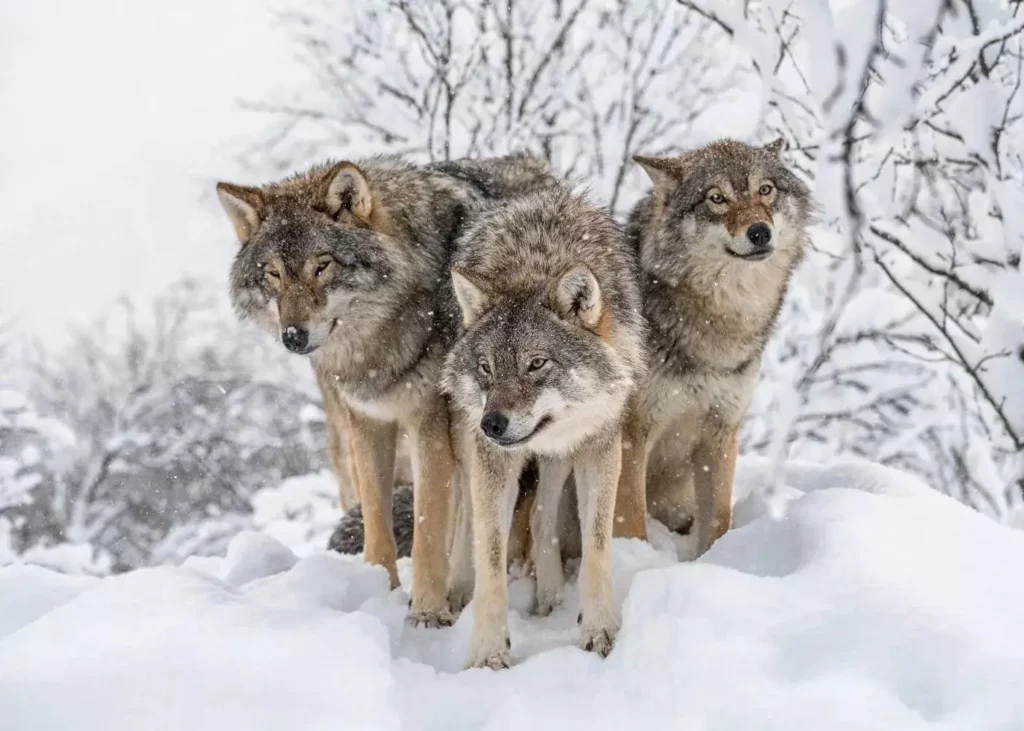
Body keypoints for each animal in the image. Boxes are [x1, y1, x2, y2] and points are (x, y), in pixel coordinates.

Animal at [211, 152, 557, 622]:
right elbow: (378, 520)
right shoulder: (367, 422)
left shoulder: (431, 427)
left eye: (323, 265)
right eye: (274, 274)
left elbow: (429, 529)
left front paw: (427, 613)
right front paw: (378, 589)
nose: (294, 336)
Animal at [442, 182, 647, 667]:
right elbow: (490, 553)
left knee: (540, 515)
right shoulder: (492, 459)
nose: (492, 424)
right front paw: (487, 652)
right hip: (466, 441)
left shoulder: (599, 445)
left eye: (536, 364)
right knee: (466, 516)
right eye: (486, 367)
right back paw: (457, 590)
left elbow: (596, 546)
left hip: (560, 455)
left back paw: (550, 595)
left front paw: (599, 631)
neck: (536, 262)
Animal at [610, 138, 811, 552]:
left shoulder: (721, 433)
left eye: (765, 190)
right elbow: (630, 517)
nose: (760, 232)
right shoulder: (632, 436)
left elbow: (718, 518)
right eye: (716, 198)